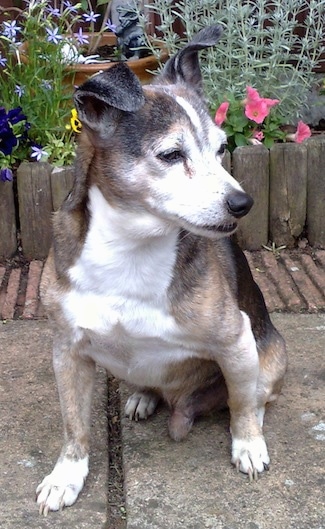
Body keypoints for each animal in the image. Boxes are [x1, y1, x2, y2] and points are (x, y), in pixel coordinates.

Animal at [36, 26, 286, 512]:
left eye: (222, 149)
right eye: (171, 154)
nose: (242, 203)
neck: (131, 249)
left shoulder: (236, 340)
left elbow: (242, 405)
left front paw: (247, 444)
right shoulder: (68, 351)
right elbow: (74, 426)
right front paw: (66, 475)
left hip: (269, 355)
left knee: (254, 395)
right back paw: (143, 397)